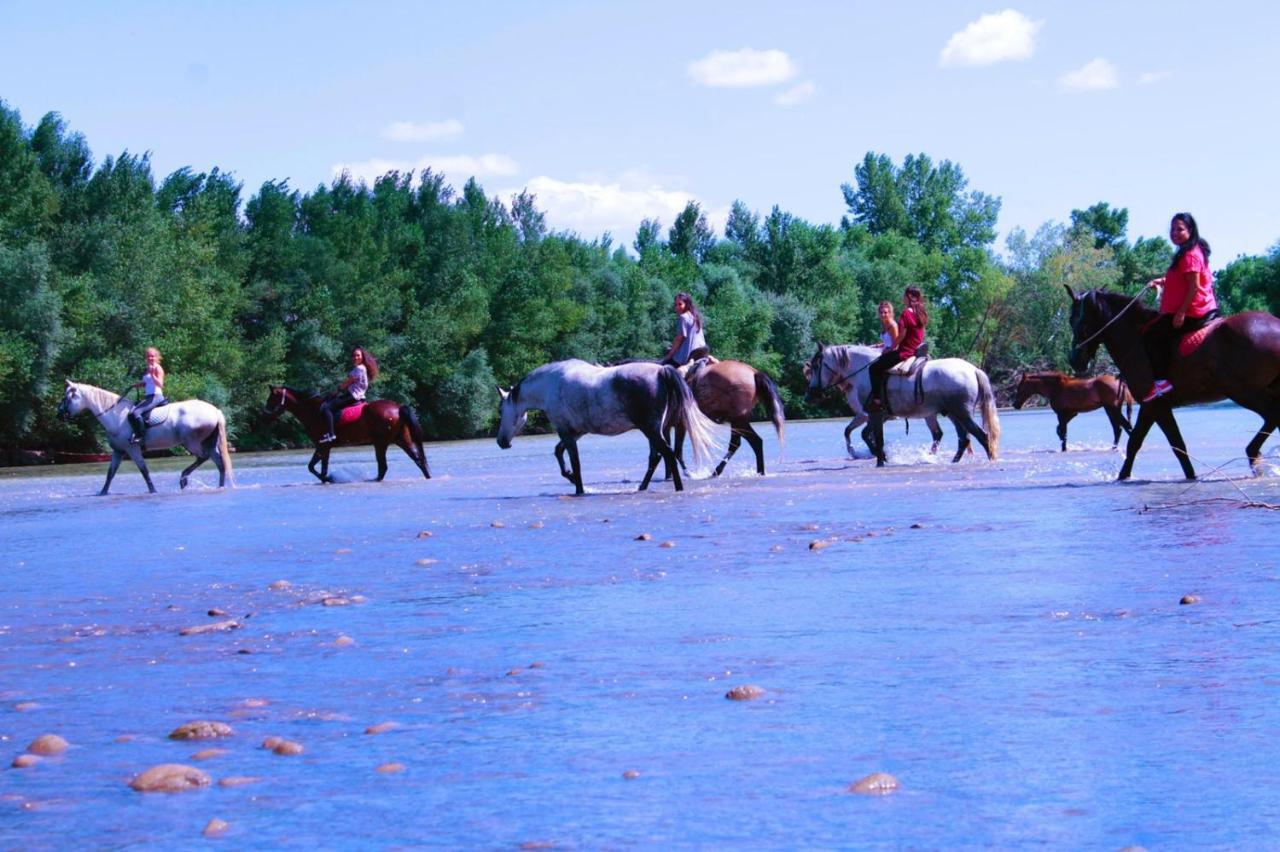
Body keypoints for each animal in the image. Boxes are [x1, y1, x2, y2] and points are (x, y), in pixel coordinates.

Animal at [57, 376, 235, 491]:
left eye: (67, 397)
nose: (59, 415)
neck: (116, 416)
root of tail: (215, 410)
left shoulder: (132, 450)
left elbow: (144, 472)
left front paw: (153, 491)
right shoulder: (118, 452)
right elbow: (110, 475)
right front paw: (102, 493)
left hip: (191, 442)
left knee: (203, 457)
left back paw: (184, 478)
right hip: (208, 443)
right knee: (220, 464)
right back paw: (219, 486)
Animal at [263, 386, 430, 481]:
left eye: (272, 398)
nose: (264, 415)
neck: (314, 412)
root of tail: (398, 408)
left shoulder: (323, 446)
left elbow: (318, 468)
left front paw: (329, 479)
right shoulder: (322, 446)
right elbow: (313, 467)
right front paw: (327, 478)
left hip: (381, 443)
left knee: (383, 467)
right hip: (402, 439)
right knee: (418, 460)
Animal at [496, 355, 721, 491]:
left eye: (501, 410)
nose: (501, 441)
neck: (551, 384)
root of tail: (661, 371)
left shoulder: (566, 433)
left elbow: (575, 462)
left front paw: (578, 488)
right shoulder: (574, 432)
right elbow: (559, 453)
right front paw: (570, 477)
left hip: (650, 429)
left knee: (667, 454)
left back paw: (677, 487)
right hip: (654, 430)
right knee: (657, 456)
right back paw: (642, 487)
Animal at [798, 342, 998, 465]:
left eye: (816, 366)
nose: (809, 395)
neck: (862, 373)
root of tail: (972, 369)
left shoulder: (872, 413)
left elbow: (869, 435)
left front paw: (880, 457)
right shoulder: (875, 415)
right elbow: (868, 435)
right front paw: (880, 456)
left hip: (961, 413)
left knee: (981, 436)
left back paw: (991, 459)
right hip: (952, 414)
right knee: (963, 439)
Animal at [1064, 289, 1280, 478]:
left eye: (1076, 320)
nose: (1075, 360)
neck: (1135, 341)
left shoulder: (1156, 405)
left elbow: (1172, 444)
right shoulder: (1151, 406)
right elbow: (1138, 442)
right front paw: (1123, 476)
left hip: (1242, 391)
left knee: (1272, 416)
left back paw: (1253, 453)